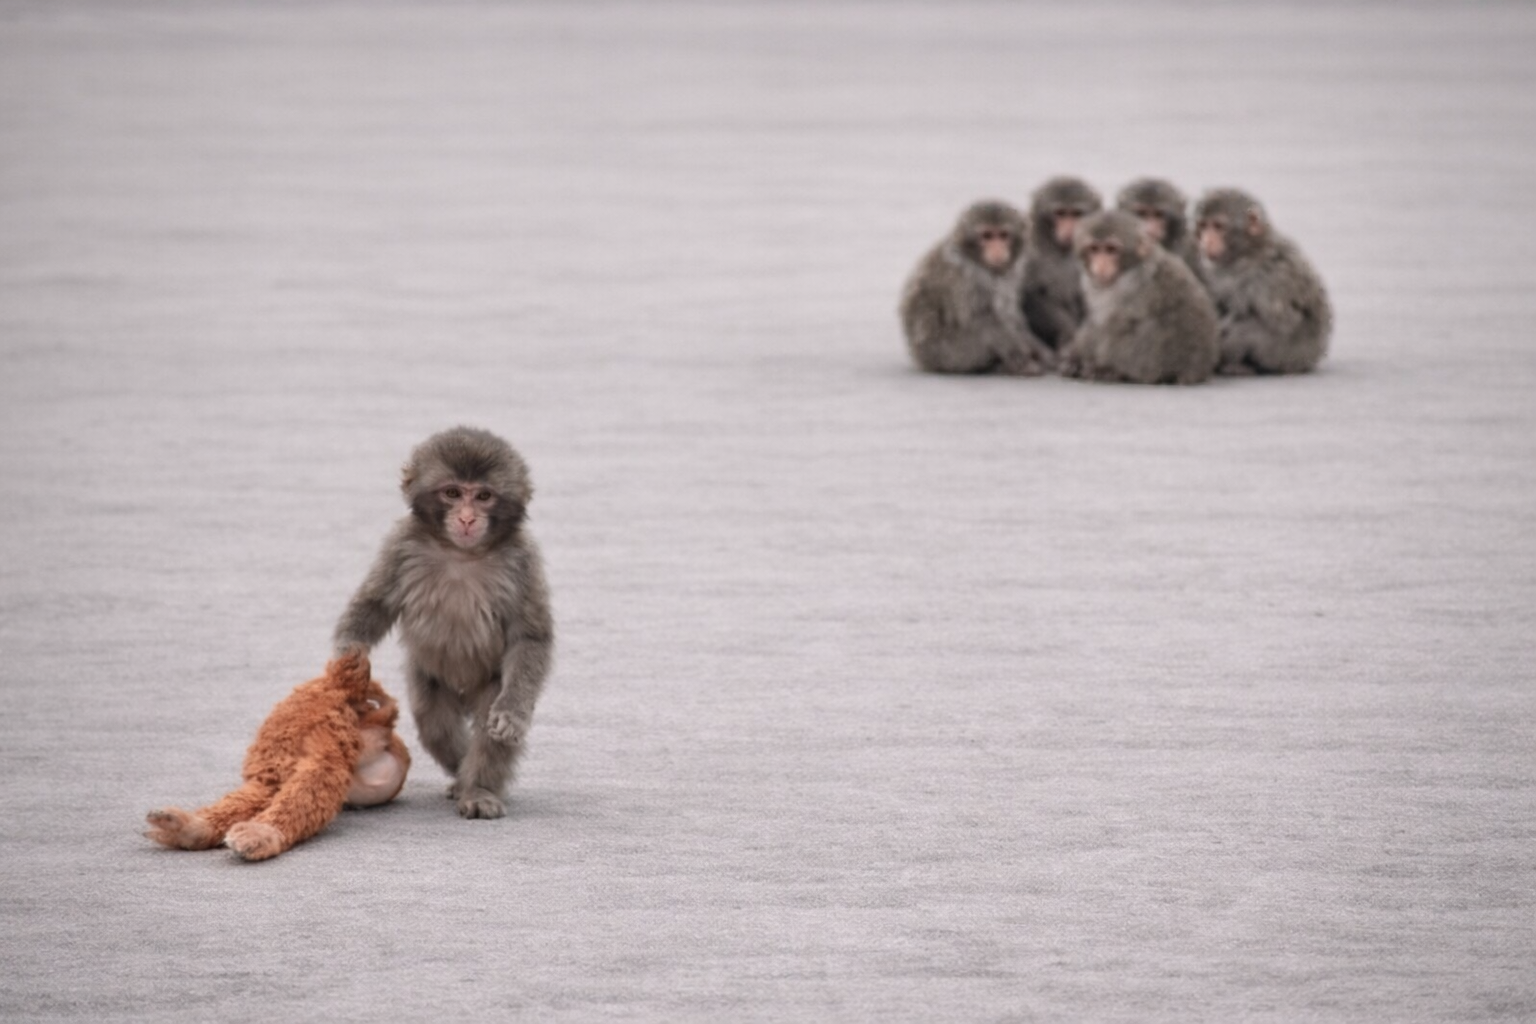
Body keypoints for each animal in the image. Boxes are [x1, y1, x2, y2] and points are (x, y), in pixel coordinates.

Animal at [334, 426, 554, 820]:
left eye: (483, 496)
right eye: (452, 493)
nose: (466, 519)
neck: (462, 552)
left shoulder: (524, 561)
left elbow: (529, 638)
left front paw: (511, 714)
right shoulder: (400, 546)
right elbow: (375, 603)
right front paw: (349, 652)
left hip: (490, 681)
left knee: (486, 725)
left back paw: (477, 787)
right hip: (430, 678)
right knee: (434, 722)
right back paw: (460, 769)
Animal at [898, 199, 1055, 376]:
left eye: (1003, 235)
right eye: (987, 236)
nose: (997, 250)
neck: (975, 259)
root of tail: (921, 360)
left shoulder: (1010, 275)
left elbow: (1010, 314)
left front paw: (1038, 350)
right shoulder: (966, 276)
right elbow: (978, 319)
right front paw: (1021, 355)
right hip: (951, 355)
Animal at [1021, 176, 1103, 349]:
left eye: (1076, 213)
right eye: (1060, 213)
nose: (1069, 229)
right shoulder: (1027, 250)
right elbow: (1030, 296)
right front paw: (1067, 332)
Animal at [1059, 210, 1220, 385]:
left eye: (1111, 249)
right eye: (1094, 249)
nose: (1101, 265)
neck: (1131, 266)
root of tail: (1194, 371)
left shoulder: (1128, 285)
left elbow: (1110, 324)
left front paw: (1084, 361)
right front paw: (1073, 358)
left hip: (1151, 364)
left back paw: (1112, 371)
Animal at [1192, 188, 1333, 375]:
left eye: (1218, 226)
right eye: (1203, 226)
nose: (1206, 241)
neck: (1247, 252)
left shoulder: (1265, 276)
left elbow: (1285, 319)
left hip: (1289, 356)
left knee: (1249, 328)